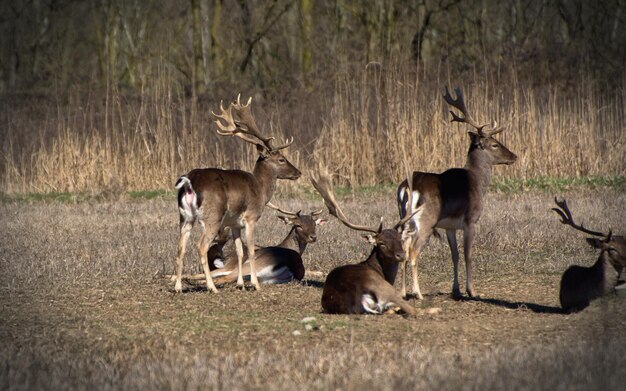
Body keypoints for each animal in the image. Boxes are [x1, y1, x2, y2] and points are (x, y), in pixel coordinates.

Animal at [171, 96, 300, 294]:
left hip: (185, 216)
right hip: (212, 217)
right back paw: (211, 287)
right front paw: (255, 284)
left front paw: (241, 284)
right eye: (281, 159)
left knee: (180, 246)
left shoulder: (234, 224)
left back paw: (178, 287)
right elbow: (251, 250)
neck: (261, 190)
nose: (298, 172)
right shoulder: (251, 217)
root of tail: (189, 182)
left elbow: (240, 252)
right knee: (201, 246)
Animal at [310, 169, 416, 316]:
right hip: (383, 288)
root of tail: (357, 301)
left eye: (400, 239)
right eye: (381, 243)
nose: (401, 255)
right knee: (411, 309)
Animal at [394, 86, 516, 300]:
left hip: (405, 220)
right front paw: (472, 291)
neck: (476, 182)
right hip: (426, 221)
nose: (514, 156)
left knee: (404, 250)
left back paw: (402, 293)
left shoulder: (449, 226)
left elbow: (455, 255)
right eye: (494, 144)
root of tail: (409, 186)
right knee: (414, 253)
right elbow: (468, 255)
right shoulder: (470, 220)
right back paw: (418, 293)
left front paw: (456, 289)